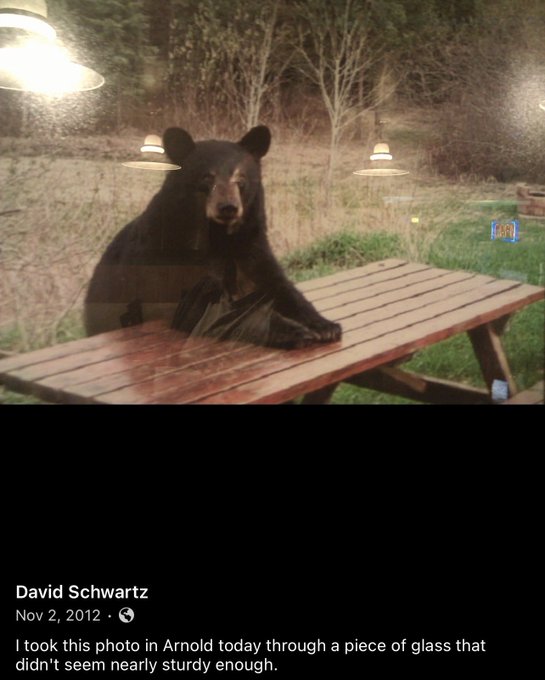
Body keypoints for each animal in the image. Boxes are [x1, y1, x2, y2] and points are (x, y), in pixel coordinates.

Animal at [84, 126, 342, 349]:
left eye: (240, 179)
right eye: (207, 178)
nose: (228, 207)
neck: (221, 240)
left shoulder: (250, 249)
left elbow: (278, 286)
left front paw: (325, 325)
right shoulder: (169, 259)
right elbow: (206, 308)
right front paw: (296, 331)